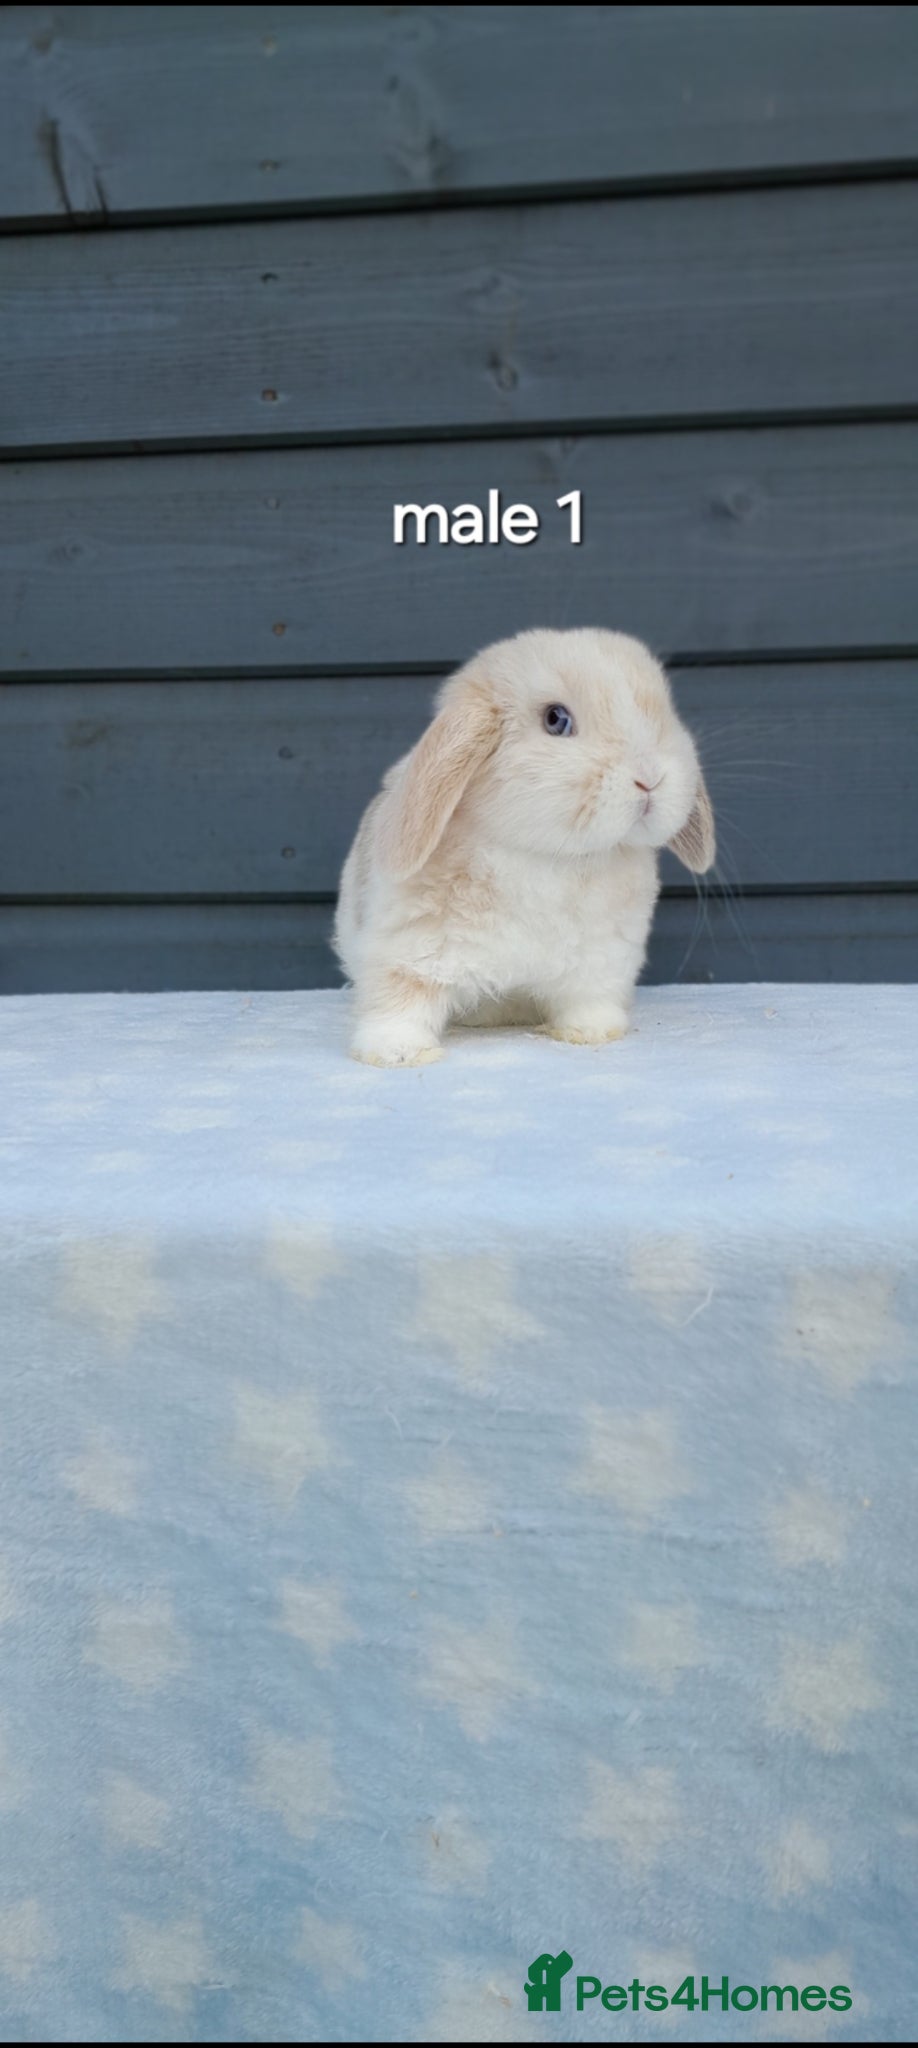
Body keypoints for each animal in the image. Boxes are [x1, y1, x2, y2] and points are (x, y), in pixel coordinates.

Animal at [334, 627, 714, 1065]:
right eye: (556, 719)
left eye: (662, 717)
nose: (650, 778)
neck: (546, 856)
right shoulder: (406, 950)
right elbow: (400, 1000)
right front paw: (396, 1052)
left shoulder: (603, 959)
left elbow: (590, 997)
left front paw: (591, 1031)